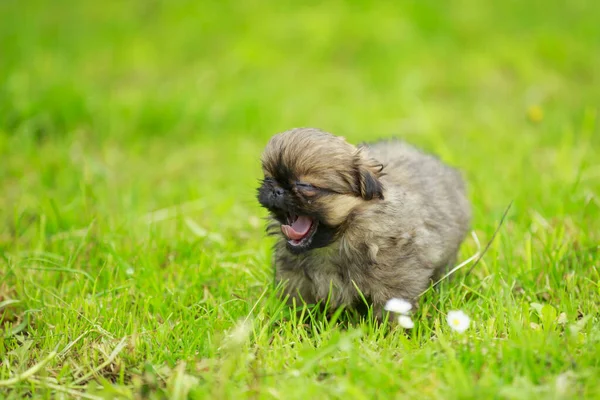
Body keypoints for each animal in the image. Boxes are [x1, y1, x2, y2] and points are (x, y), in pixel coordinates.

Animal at [255, 127, 472, 316]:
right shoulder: (295, 280)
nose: (276, 190)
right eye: (268, 179)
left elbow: (391, 310)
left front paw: (389, 332)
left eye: (305, 186)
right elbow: (298, 306)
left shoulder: (396, 278)